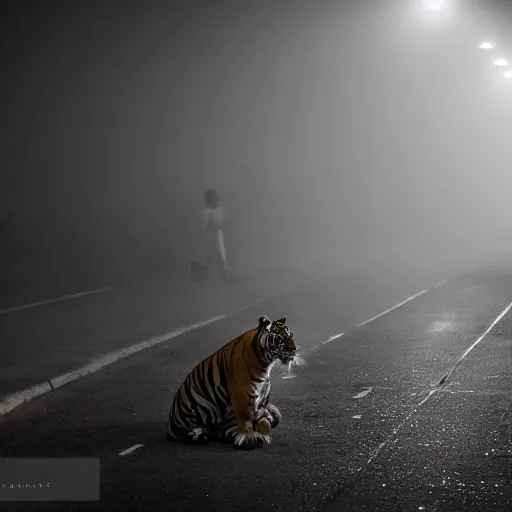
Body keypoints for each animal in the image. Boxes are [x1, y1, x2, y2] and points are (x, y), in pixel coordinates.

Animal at [167, 314, 296, 450]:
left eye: (291, 335)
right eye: (280, 338)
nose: (294, 349)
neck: (266, 364)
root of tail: (172, 421)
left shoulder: (261, 395)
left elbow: (260, 416)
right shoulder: (242, 394)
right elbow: (245, 418)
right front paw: (250, 437)